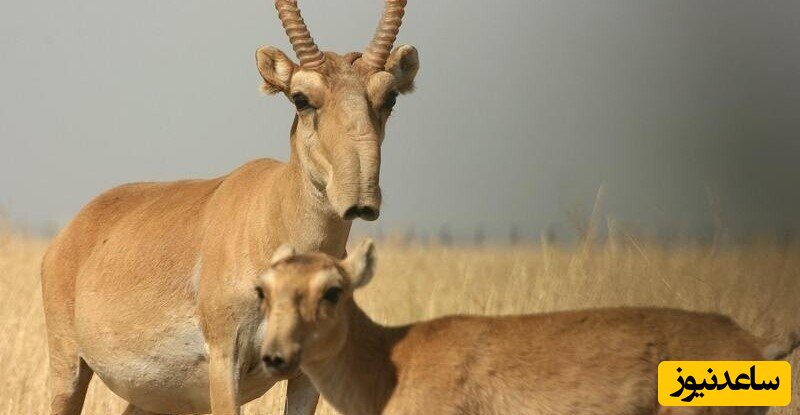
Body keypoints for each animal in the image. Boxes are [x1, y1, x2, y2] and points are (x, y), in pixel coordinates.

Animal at [39, 1, 418, 414]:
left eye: (390, 97)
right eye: (301, 98)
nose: (360, 197)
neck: (272, 213)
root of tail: (73, 231)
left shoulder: (306, 375)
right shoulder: (225, 362)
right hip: (69, 369)